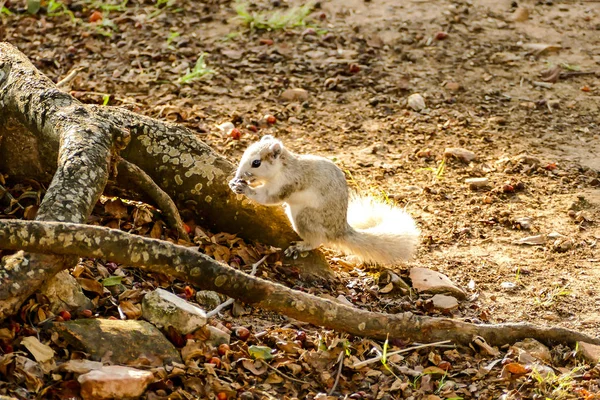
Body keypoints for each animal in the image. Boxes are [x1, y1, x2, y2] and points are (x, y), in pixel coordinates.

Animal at [227, 135, 420, 266]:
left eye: (256, 163)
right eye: (244, 153)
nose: (239, 175)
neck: (283, 168)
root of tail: (338, 230)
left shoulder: (286, 185)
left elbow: (267, 197)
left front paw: (245, 189)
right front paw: (235, 182)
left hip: (305, 217)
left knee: (317, 241)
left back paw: (300, 247)